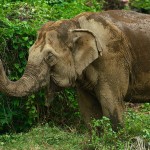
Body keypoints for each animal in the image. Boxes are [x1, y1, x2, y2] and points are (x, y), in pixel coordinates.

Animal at [0, 10, 150, 130]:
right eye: (29, 51)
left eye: (50, 57)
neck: (76, 26)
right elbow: (88, 109)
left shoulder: (112, 57)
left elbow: (111, 103)